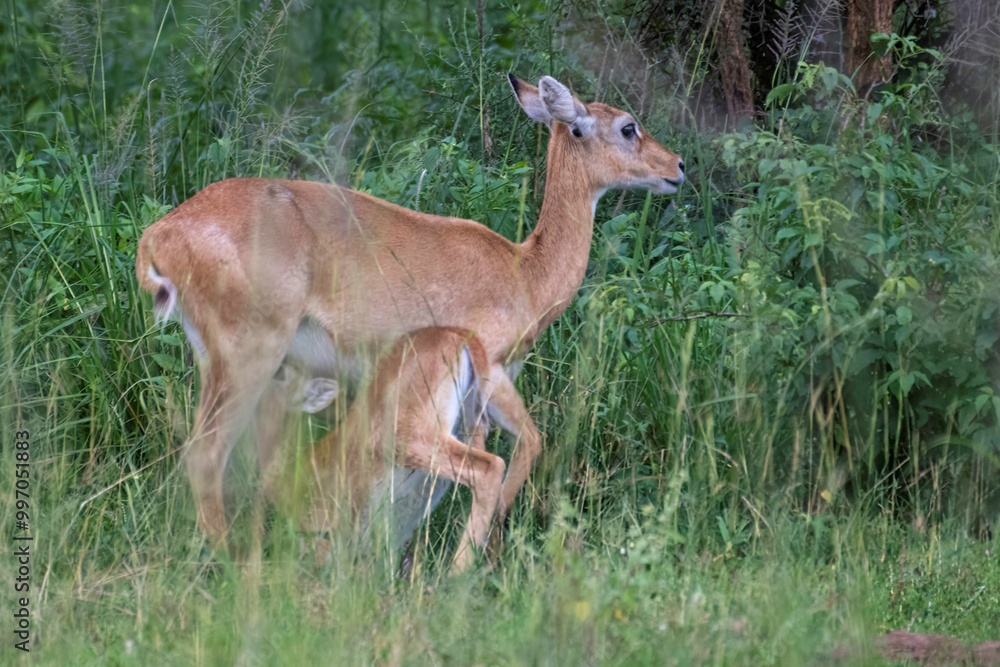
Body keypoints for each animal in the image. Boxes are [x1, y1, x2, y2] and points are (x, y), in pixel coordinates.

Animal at [135, 73, 684, 546]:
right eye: (627, 126)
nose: (678, 167)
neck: (524, 270)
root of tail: (158, 237)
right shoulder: (491, 370)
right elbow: (523, 446)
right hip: (248, 356)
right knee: (206, 455)